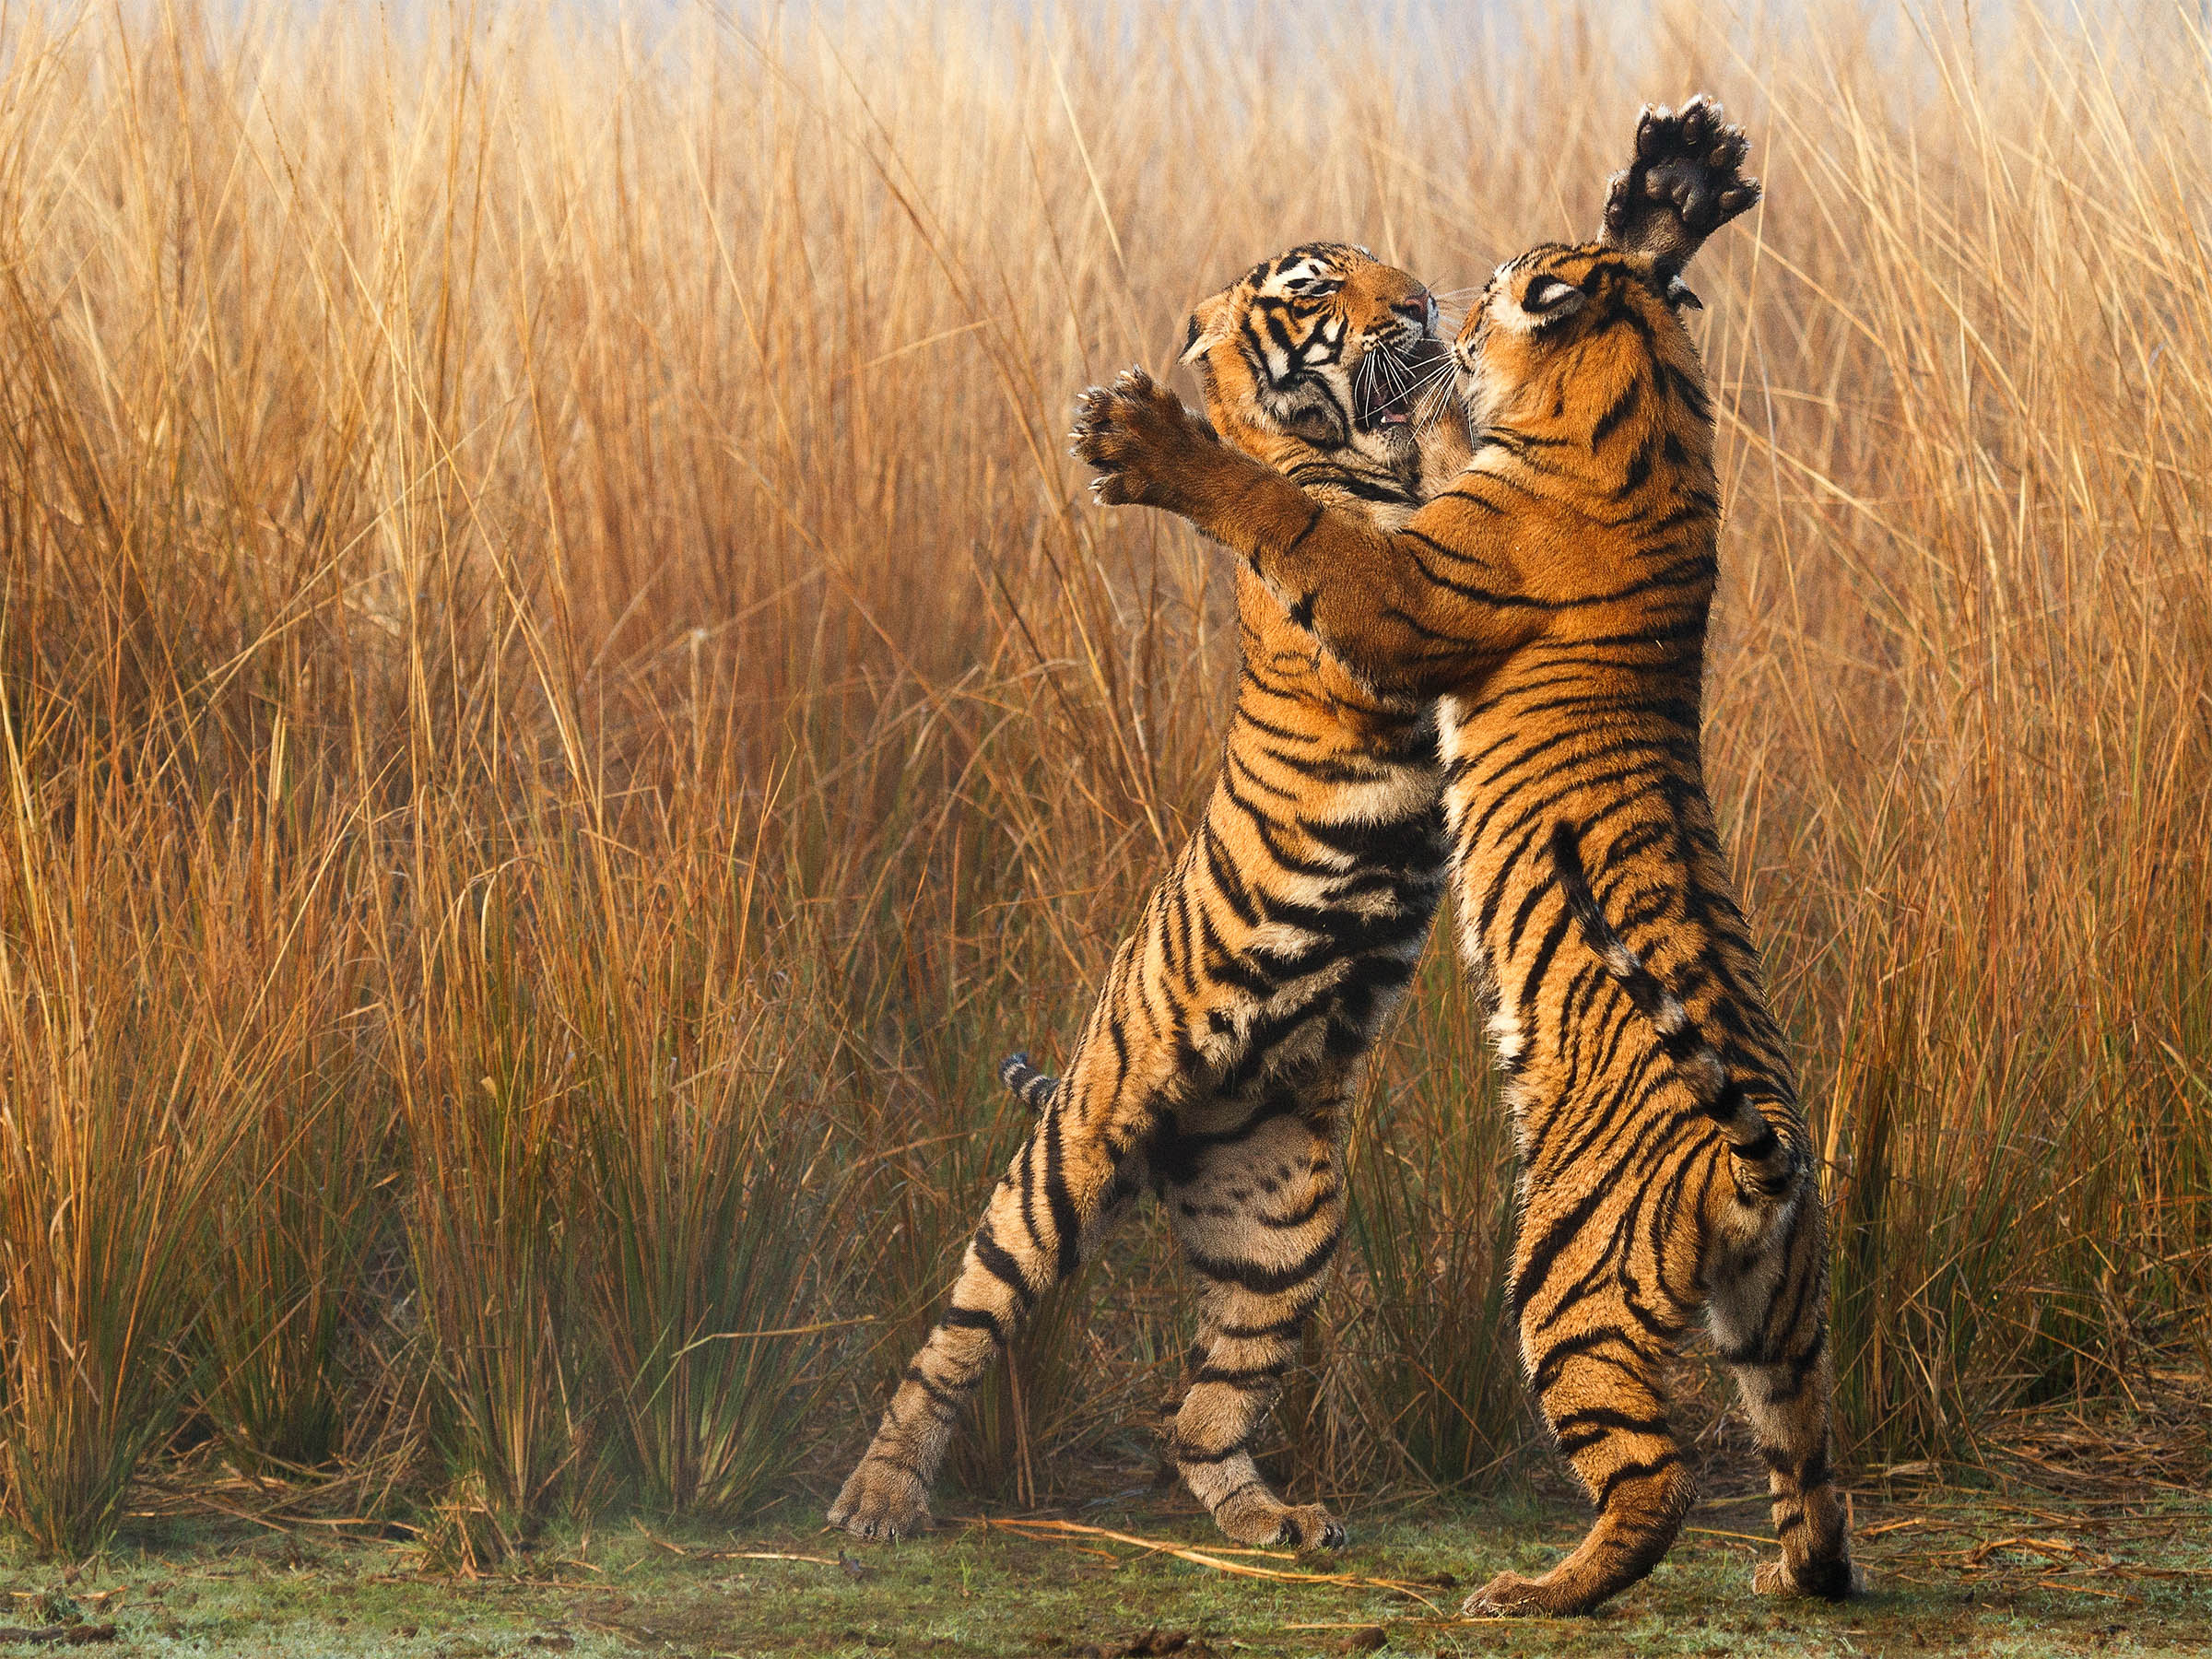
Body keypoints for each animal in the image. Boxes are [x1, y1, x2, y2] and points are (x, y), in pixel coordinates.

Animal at [829, 241, 1473, 1553]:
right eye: (1319, 288)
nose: (1425, 302)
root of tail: (1175, 1138)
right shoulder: (1381, 590)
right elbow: (1284, 508)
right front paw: (1143, 439)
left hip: (1287, 1230)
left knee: (1204, 1414)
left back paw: (1269, 1519)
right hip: (1056, 1172)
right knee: (952, 1343)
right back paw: (878, 1495)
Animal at [1069, 100, 1861, 1615]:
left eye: (1494, 278)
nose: (1444, 293)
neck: (1657, 418)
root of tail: (1769, 1157)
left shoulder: (1410, 581)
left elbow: (1293, 515)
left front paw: (1154, 439)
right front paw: (1664, 202)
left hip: (1567, 1282)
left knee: (1654, 1476)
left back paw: (1539, 1592)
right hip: (1782, 1320)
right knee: (1809, 1459)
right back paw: (1796, 1580)